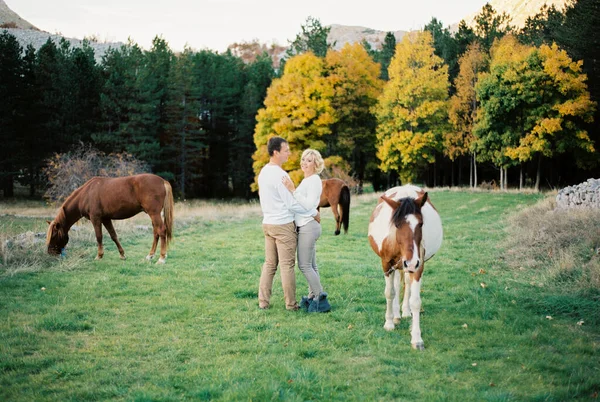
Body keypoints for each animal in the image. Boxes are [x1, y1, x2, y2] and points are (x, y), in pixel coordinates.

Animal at [368, 185, 442, 348]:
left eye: (420, 224)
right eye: (397, 225)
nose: (411, 261)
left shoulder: (418, 266)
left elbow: (415, 301)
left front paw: (417, 338)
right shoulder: (386, 265)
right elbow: (390, 293)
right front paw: (389, 323)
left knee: (406, 283)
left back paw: (405, 312)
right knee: (395, 285)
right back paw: (395, 316)